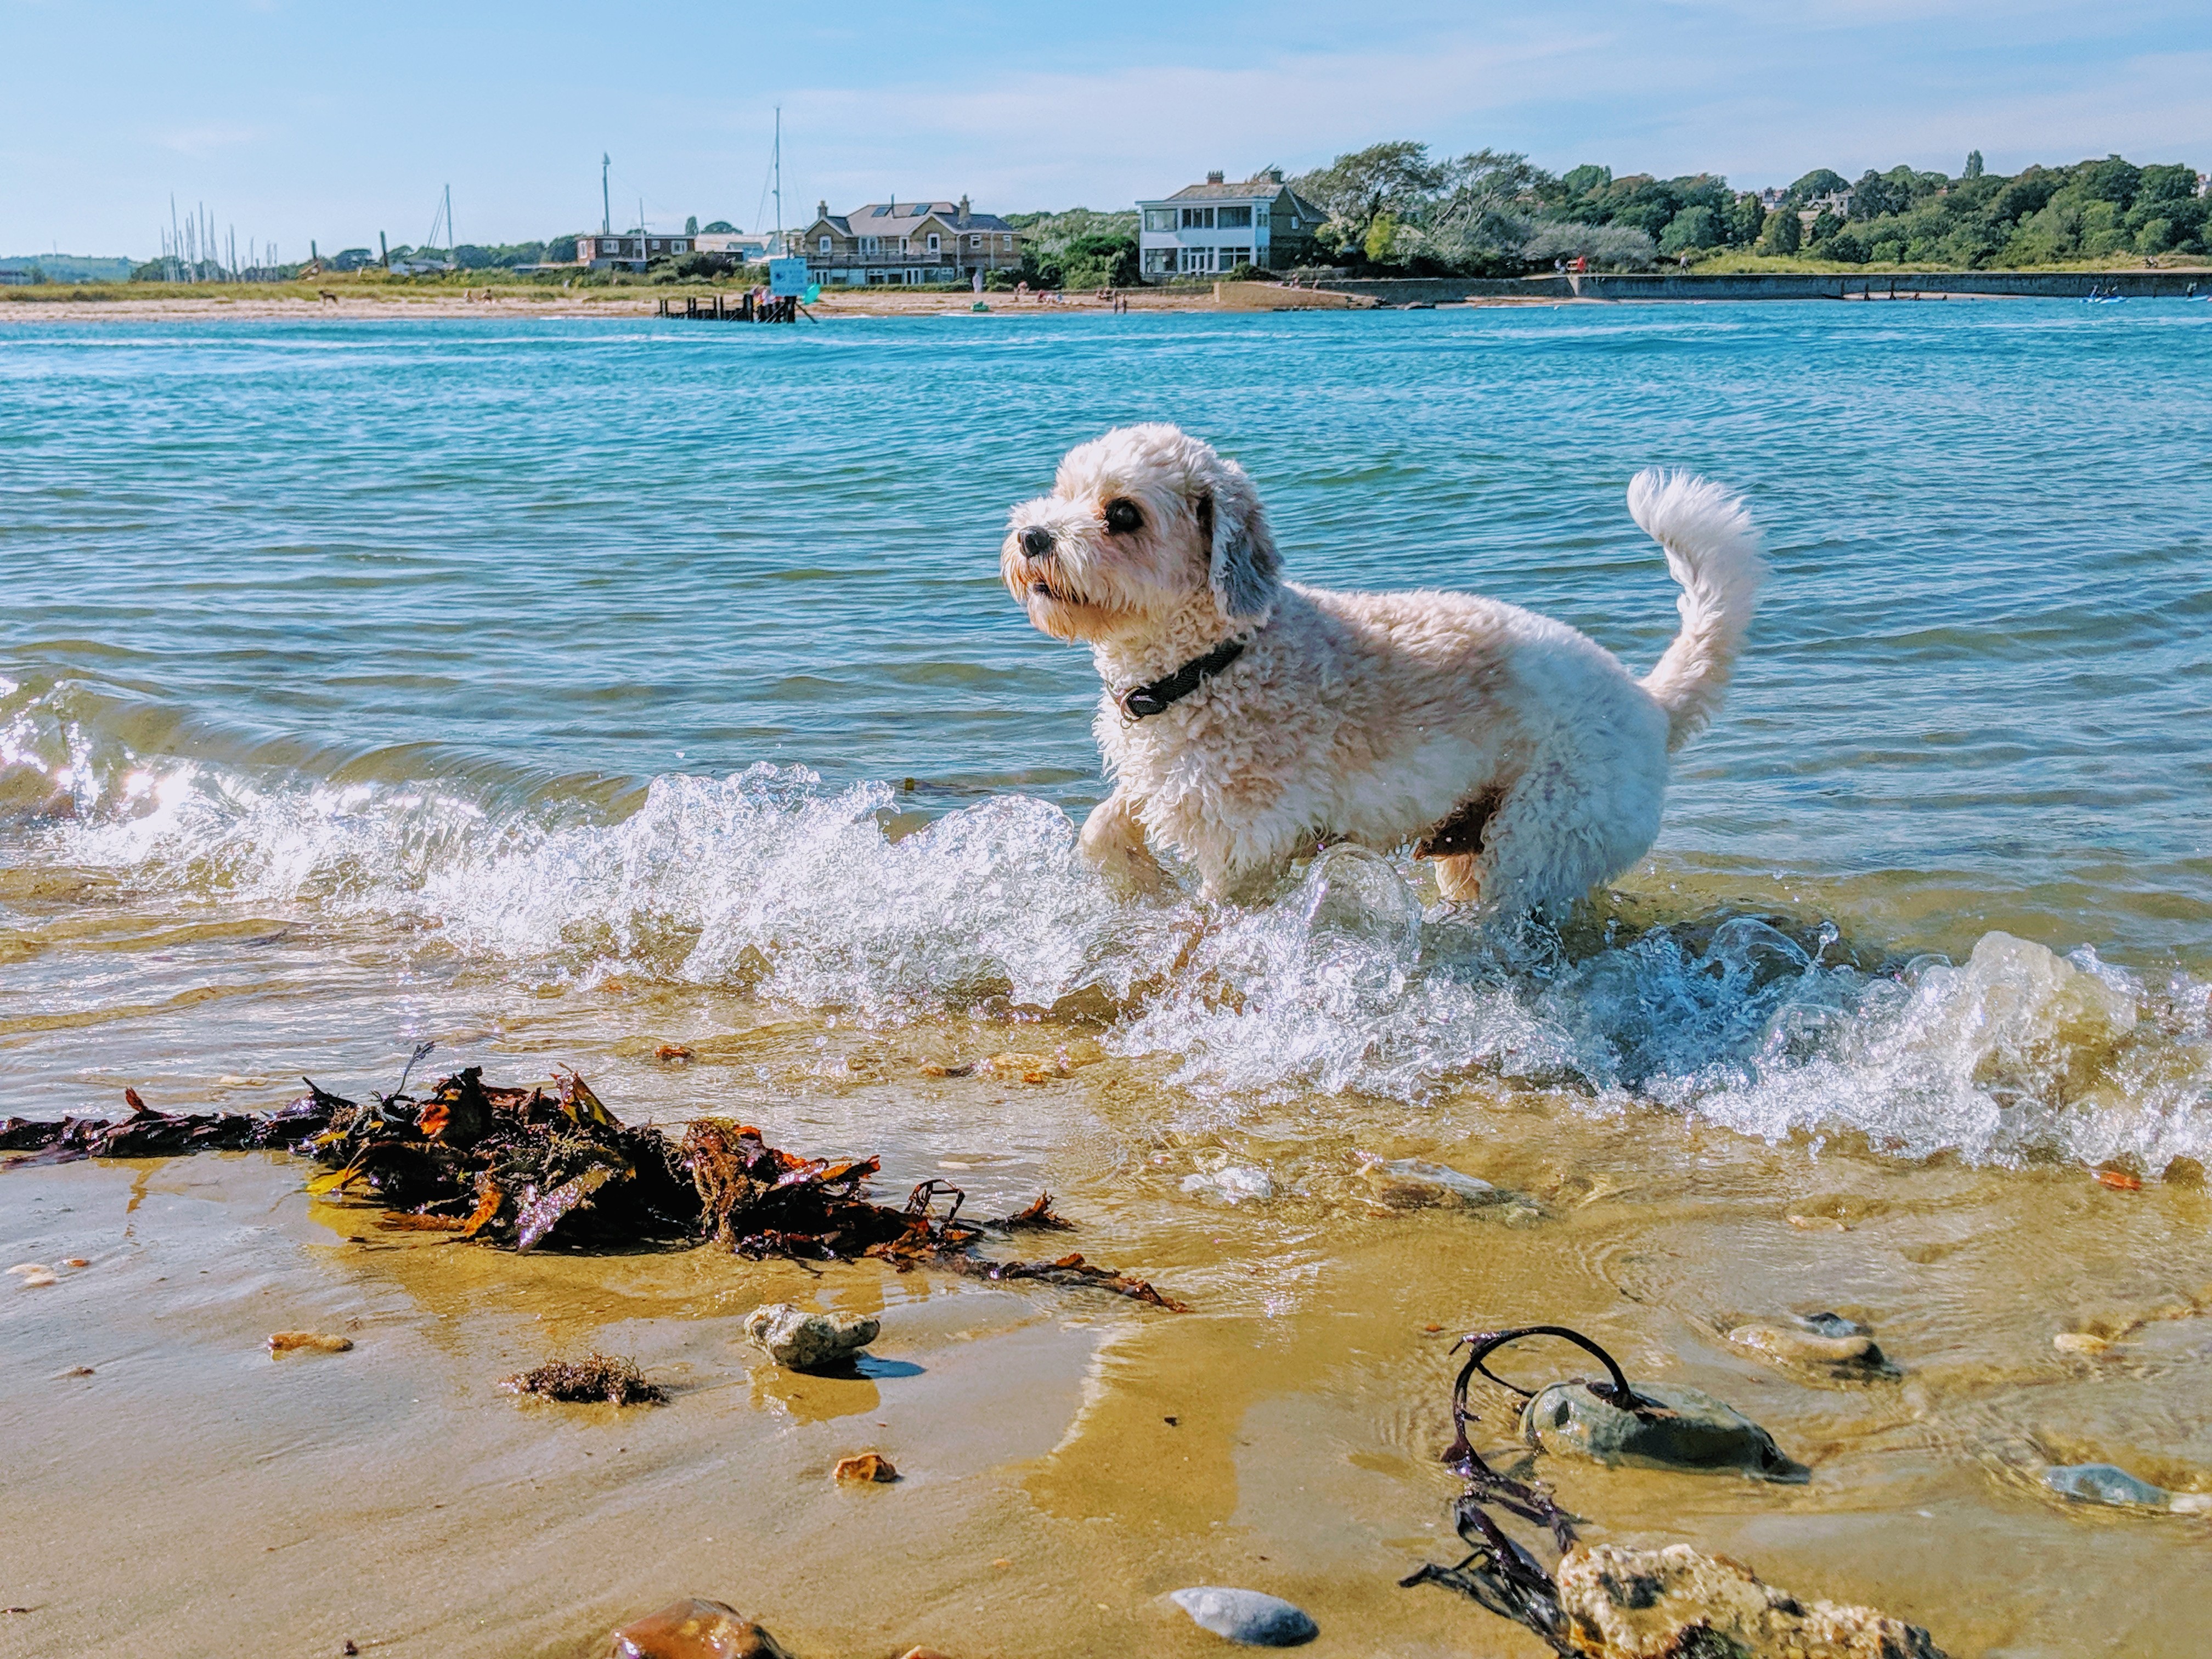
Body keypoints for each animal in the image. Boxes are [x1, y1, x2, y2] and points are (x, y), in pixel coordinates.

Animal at [1004, 429, 1760, 916]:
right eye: (1063, 491)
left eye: (1122, 514)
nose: (1031, 536)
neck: (1214, 664)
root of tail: (1652, 704)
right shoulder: (1167, 782)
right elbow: (1101, 828)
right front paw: (1137, 886)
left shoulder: (1248, 841)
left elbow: (1217, 909)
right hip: (1479, 844)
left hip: (1540, 836)